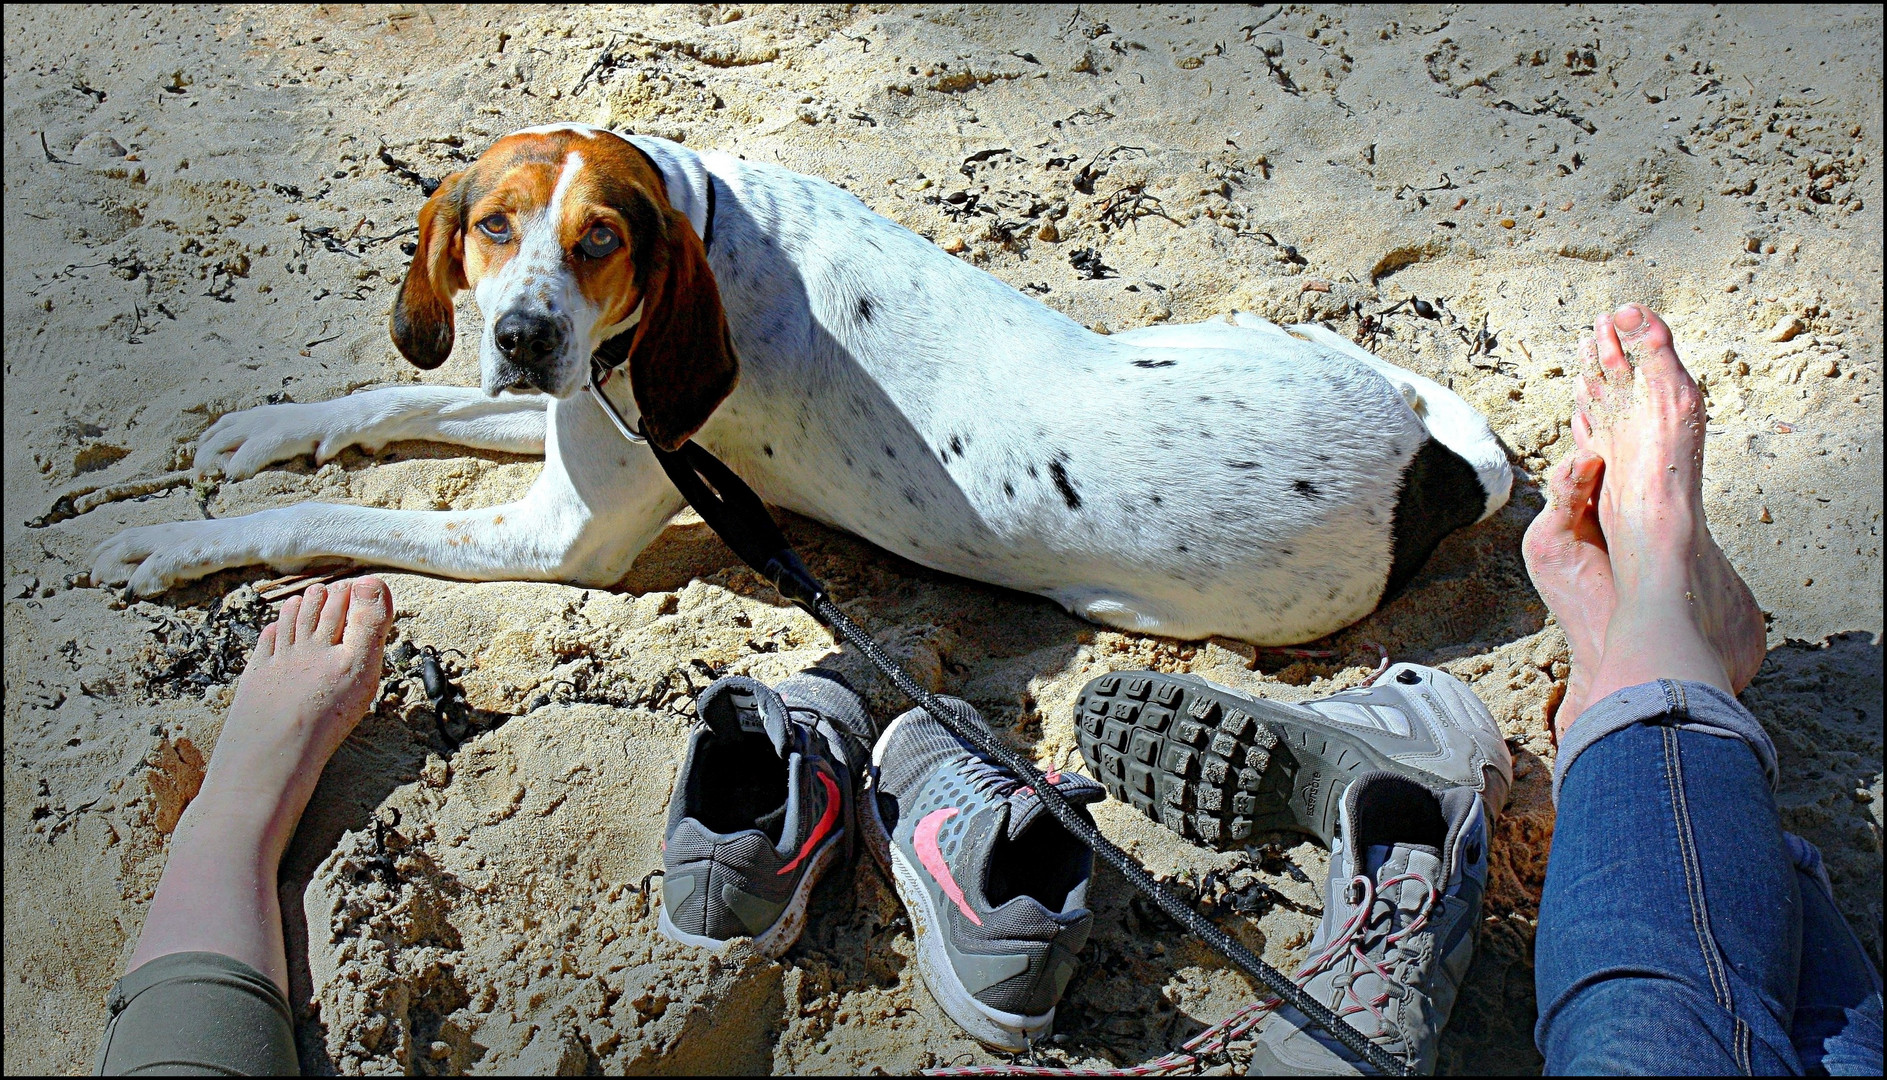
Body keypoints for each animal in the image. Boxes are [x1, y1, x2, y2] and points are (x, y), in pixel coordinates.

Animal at [99, 128, 1517, 649]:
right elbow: (389, 404)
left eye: (600, 240)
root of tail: (1431, 479)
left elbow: (334, 518)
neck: (714, 223)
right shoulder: (573, 402)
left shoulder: (565, 533)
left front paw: (175, 544)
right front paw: (262, 428)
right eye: (492, 226)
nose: (525, 333)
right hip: (1251, 329)